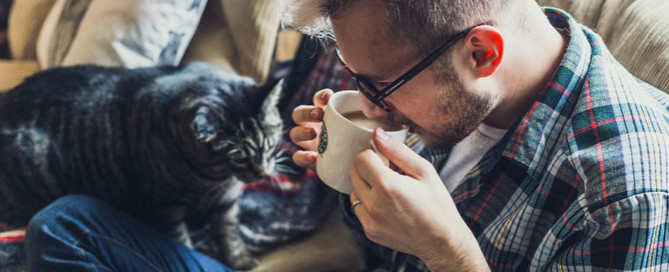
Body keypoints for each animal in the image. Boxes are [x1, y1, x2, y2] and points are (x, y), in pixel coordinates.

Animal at [0, 61, 284, 268]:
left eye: (270, 144)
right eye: (238, 157)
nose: (262, 172)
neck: (215, 179)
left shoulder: (227, 202)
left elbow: (229, 232)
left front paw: (239, 259)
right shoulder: (165, 206)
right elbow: (181, 240)